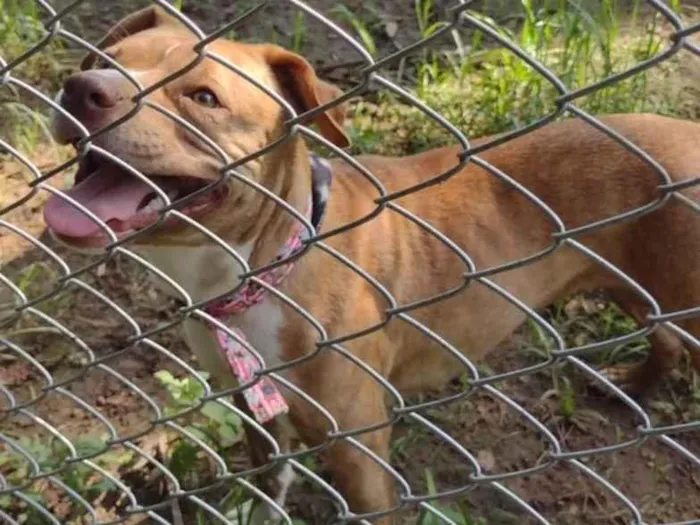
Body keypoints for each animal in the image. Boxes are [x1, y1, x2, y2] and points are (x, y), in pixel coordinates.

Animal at [43, 5, 700, 524]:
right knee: (663, 337)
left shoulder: (358, 447)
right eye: (103, 58)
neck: (265, 267)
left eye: (203, 97)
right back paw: (629, 386)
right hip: (635, 283)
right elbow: (266, 485)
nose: (81, 87)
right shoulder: (252, 409)